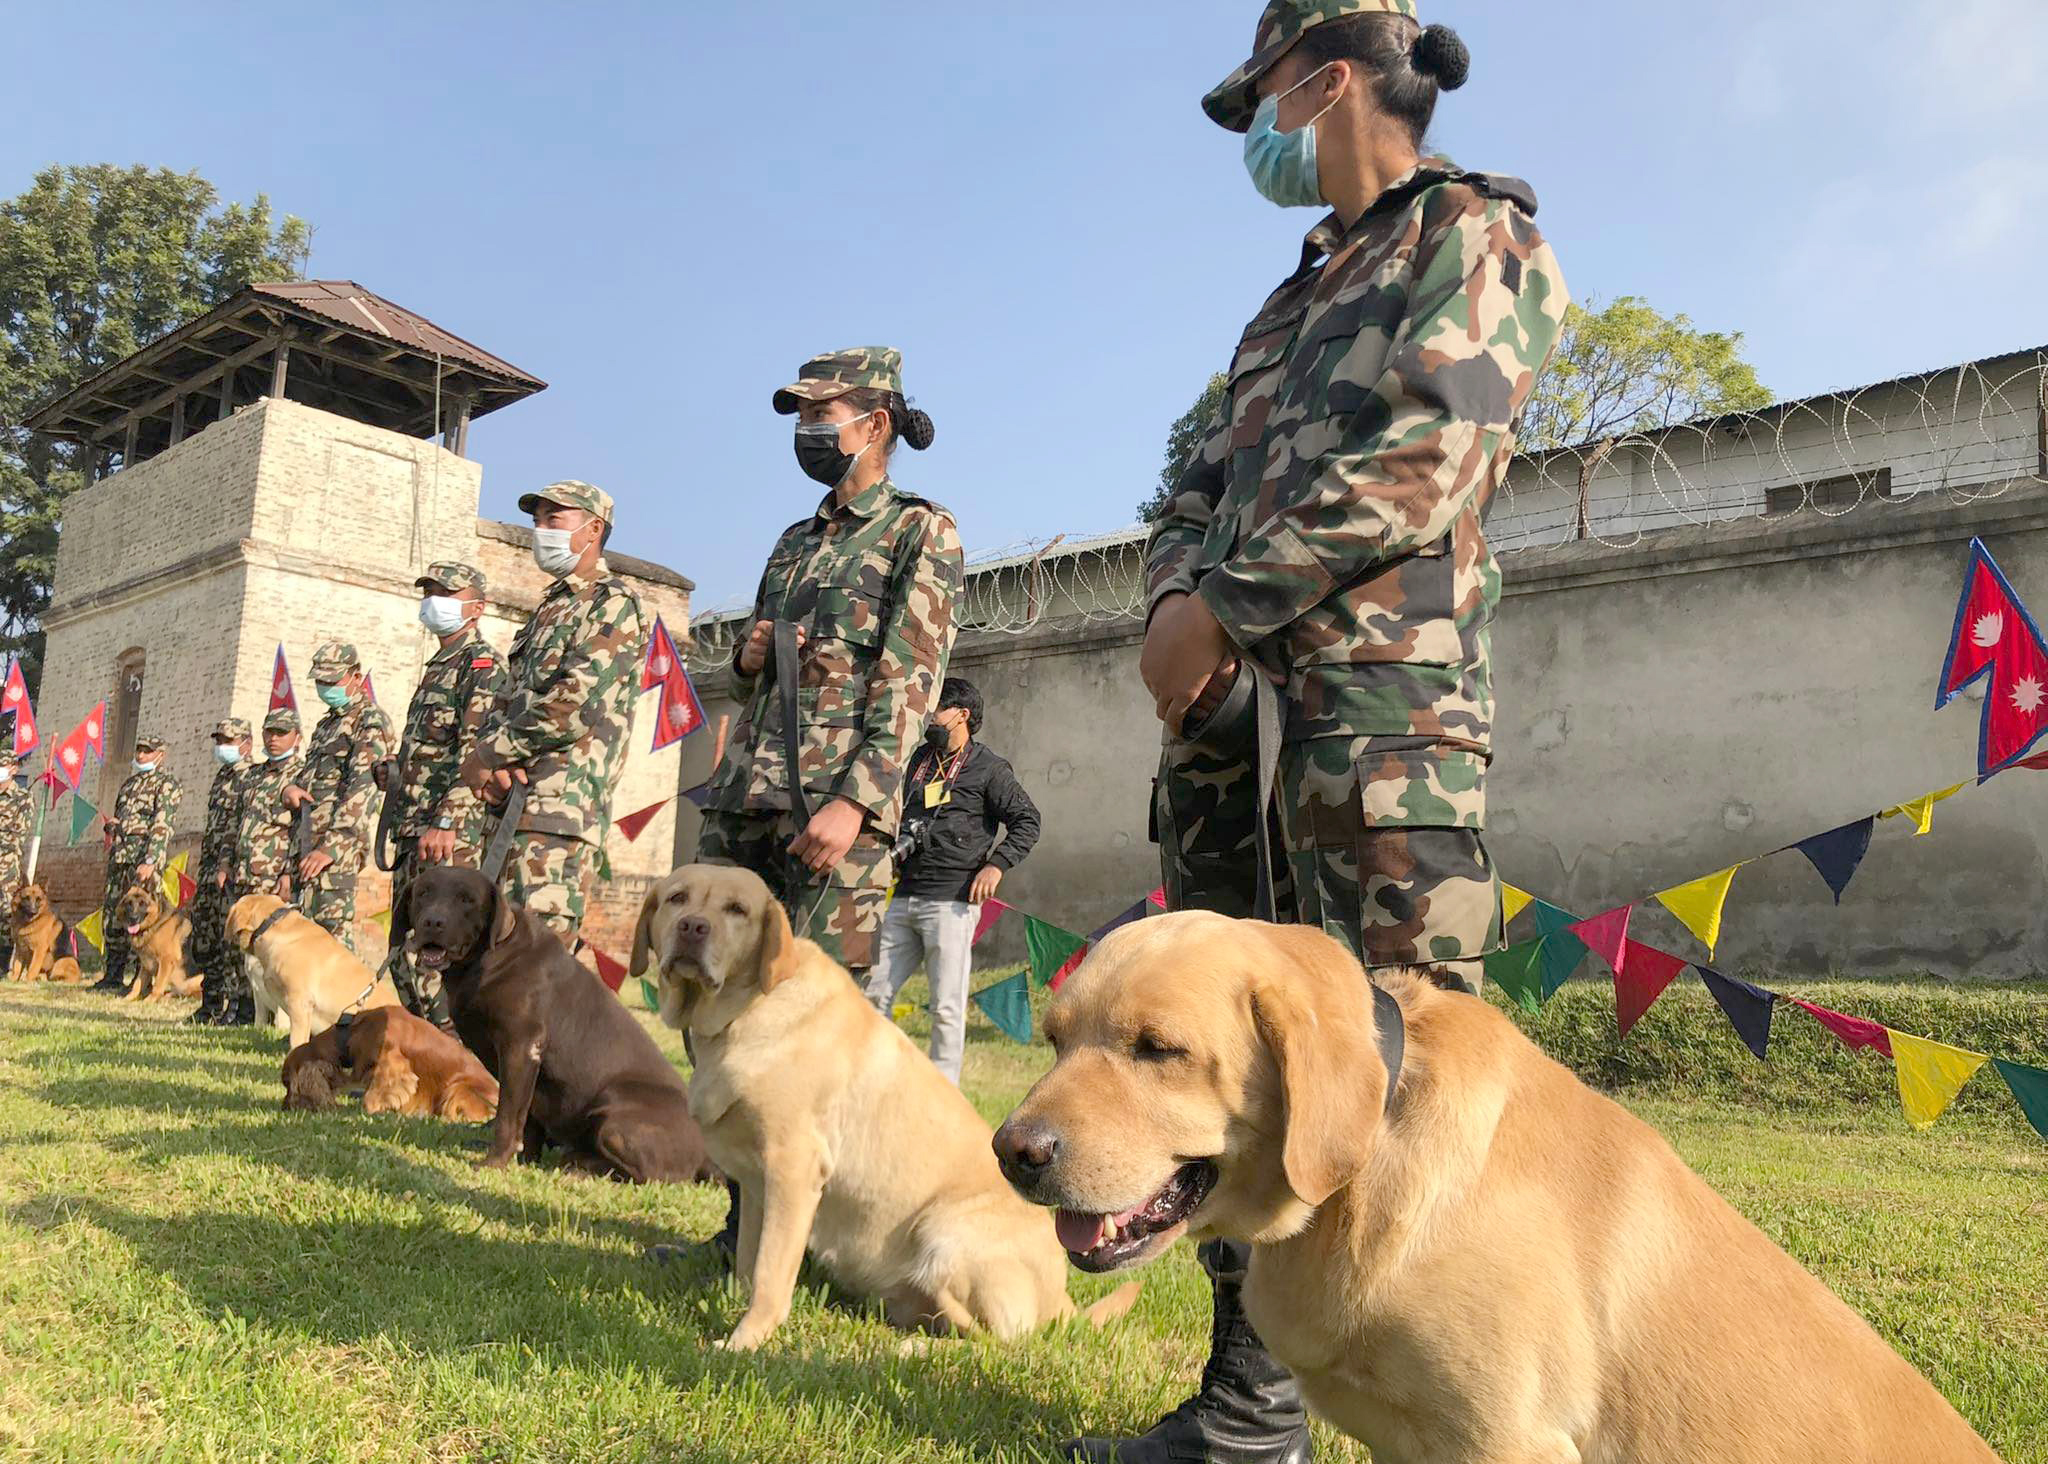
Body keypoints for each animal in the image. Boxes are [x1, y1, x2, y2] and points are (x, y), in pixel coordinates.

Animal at [634, 864, 1138, 1359]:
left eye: (736, 909)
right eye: (677, 898)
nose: (692, 928)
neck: (744, 1010)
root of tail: (1063, 1302)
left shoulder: (794, 1170)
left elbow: (770, 1275)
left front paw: (746, 1339)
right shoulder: (758, 1183)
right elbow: (747, 1259)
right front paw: (729, 1300)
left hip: (942, 1233)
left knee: (994, 1339)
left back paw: (913, 1343)